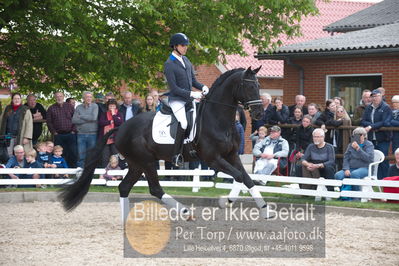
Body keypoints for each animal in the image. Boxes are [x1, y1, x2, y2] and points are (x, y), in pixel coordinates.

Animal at [61, 66, 276, 220]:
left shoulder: (231, 155)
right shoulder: (213, 159)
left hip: (137, 164)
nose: (259, 113)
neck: (218, 119)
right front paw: (226, 201)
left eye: (258, 86)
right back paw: (185, 213)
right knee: (155, 189)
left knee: (124, 187)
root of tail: (121, 128)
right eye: (248, 86)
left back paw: (126, 220)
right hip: (146, 161)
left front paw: (265, 210)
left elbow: (246, 178)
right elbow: (239, 176)